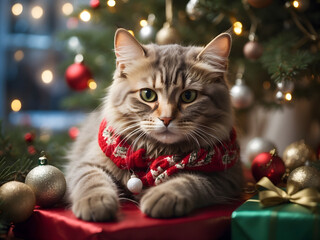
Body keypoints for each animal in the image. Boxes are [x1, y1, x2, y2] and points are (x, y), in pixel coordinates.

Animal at [65, 28, 245, 221]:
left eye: (188, 96)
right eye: (147, 95)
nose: (166, 119)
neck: (156, 154)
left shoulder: (227, 177)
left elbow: (190, 180)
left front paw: (163, 195)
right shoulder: (84, 164)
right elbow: (91, 180)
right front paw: (96, 202)